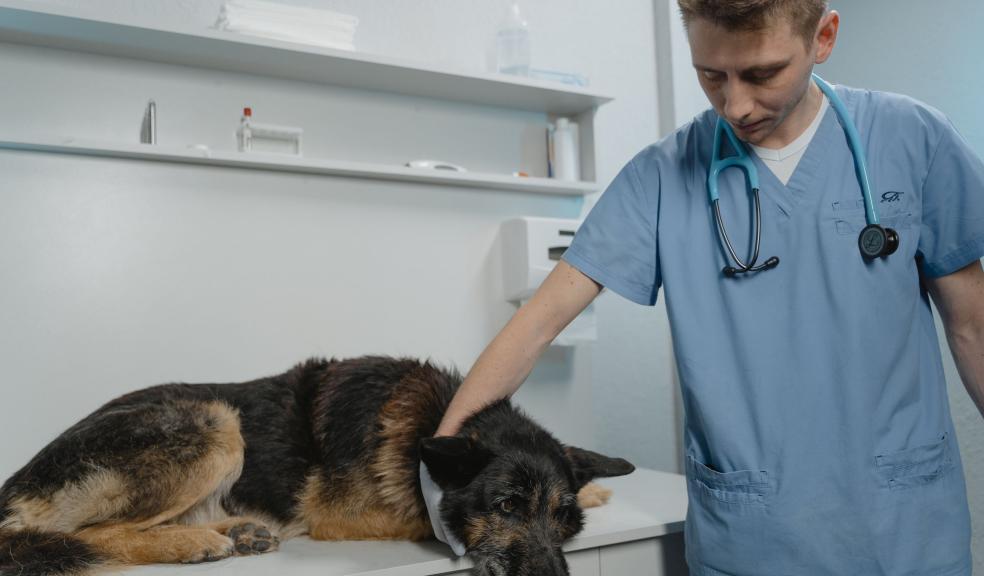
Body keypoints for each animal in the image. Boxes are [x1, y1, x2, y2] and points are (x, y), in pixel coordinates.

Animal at [0, 358, 636, 572]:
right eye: (505, 506)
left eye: (561, 517)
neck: (429, 424)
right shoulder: (342, 516)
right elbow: (423, 517)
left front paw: (595, 491)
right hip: (215, 421)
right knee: (87, 533)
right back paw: (192, 544)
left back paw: (237, 531)